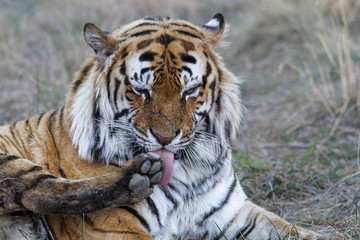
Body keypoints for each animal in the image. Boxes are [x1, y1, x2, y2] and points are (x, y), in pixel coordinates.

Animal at [0, 14, 320, 239]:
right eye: (142, 90)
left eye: (189, 91)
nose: (165, 138)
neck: (188, 172)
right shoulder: (113, 227)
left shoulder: (234, 214)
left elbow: (297, 232)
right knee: (38, 188)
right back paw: (135, 178)